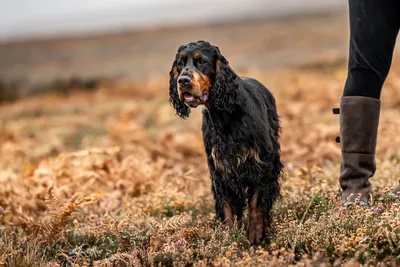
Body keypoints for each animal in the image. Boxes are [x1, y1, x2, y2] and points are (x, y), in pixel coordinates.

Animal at [167, 39, 282, 245]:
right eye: (180, 63)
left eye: (201, 61)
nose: (183, 81)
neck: (226, 114)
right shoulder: (221, 170)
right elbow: (227, 208)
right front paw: (227, 239)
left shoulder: (263, 165)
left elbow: (257, 205)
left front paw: (255, 238)